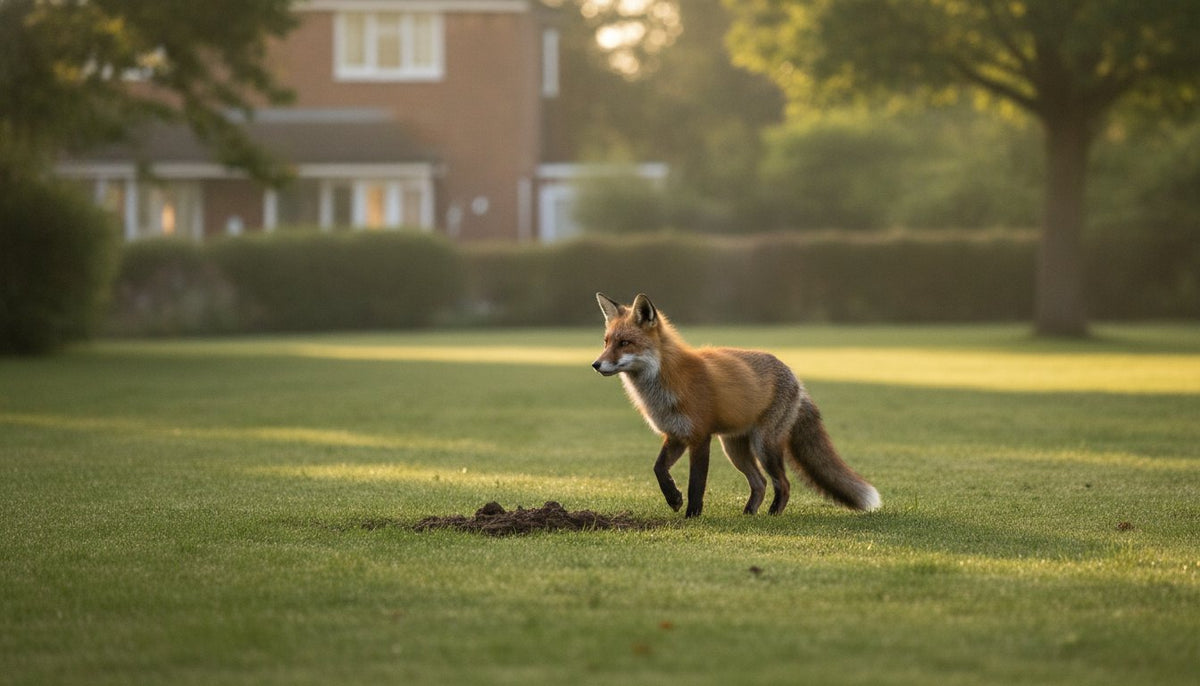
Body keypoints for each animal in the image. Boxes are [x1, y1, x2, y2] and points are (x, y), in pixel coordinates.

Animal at [592, 292, 881, 518]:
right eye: (606, 342)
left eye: (625, 343)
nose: (595, 364)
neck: (666, 380)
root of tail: (796, 379)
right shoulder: (676, 435)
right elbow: (659, 469)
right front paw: (673, 498)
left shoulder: (700, 437)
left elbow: (696, 484)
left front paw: (692, 515)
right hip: (734, 448)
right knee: (760, 483)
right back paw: (748, 514)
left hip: (764, 445)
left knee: (783, 483)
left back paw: (772, 515)